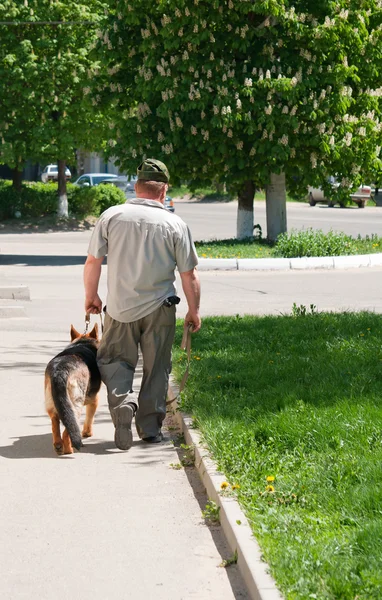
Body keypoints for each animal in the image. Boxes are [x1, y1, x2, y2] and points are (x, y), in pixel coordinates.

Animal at [44, 324, 100, 454]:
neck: (82, 343)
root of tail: (60, 371)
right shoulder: (94, 400)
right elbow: (90, 418)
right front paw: (87, 433)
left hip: (52, 405)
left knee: (55, 425)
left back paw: (59, 446)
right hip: (75, 406)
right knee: (68, 430)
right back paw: (69, 450)